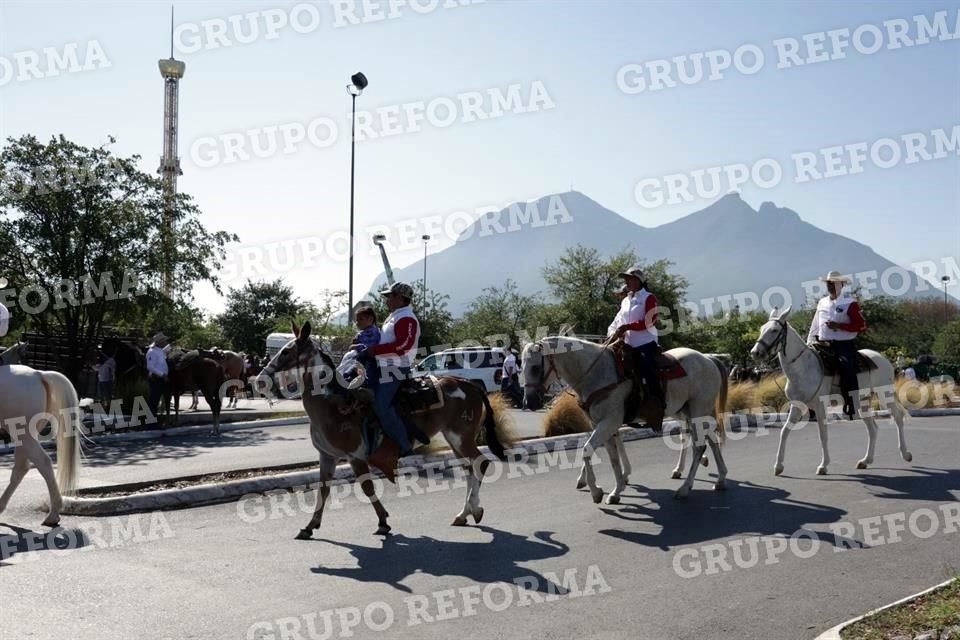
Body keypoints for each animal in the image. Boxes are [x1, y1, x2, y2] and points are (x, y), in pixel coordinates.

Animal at [0, 364, 82, 524]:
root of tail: (38, 374)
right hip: (24, 438)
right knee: (21, 468)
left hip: (23, 434)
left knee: (42, 463)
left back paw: (53, 514)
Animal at [253, 322, 510, 536]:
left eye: (286, 351)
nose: (259, 379)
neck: (333, 404)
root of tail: (470, 385)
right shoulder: (327, 456)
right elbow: (323, 489)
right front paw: (309, 526)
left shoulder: (355, 456)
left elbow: (367, 487)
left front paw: (383, 521)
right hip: (453, 437)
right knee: (469, 469)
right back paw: (465, 513)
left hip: (461, 437)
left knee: (480, 463)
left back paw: (472, 510)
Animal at [524, 336, 728, 504]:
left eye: (535, 367)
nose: (529, 401)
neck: (596, 373)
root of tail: (708, 359)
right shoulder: (600, 423)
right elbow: (612, 454)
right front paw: (617, 487)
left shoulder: (609, 422)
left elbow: (589, 449)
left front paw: (597, 490)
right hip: (687, 410)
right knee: (707, 438)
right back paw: (719, 478)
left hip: (698, 410)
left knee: (699, 445)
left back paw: (685, 488)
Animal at [748, 304, 912, 476]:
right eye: (761, 329)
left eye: (774, 330)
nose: (755, 352)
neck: (803, 368)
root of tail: (883, 359)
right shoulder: (797, 405)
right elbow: (785, 431)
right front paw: (778, 466)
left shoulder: (820, 406)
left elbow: (823, 435)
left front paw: (823, 465)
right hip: (862, 402)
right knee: (873, 429)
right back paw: (865, 461)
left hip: (885, 395)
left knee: (898, 418)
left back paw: (905, 454)